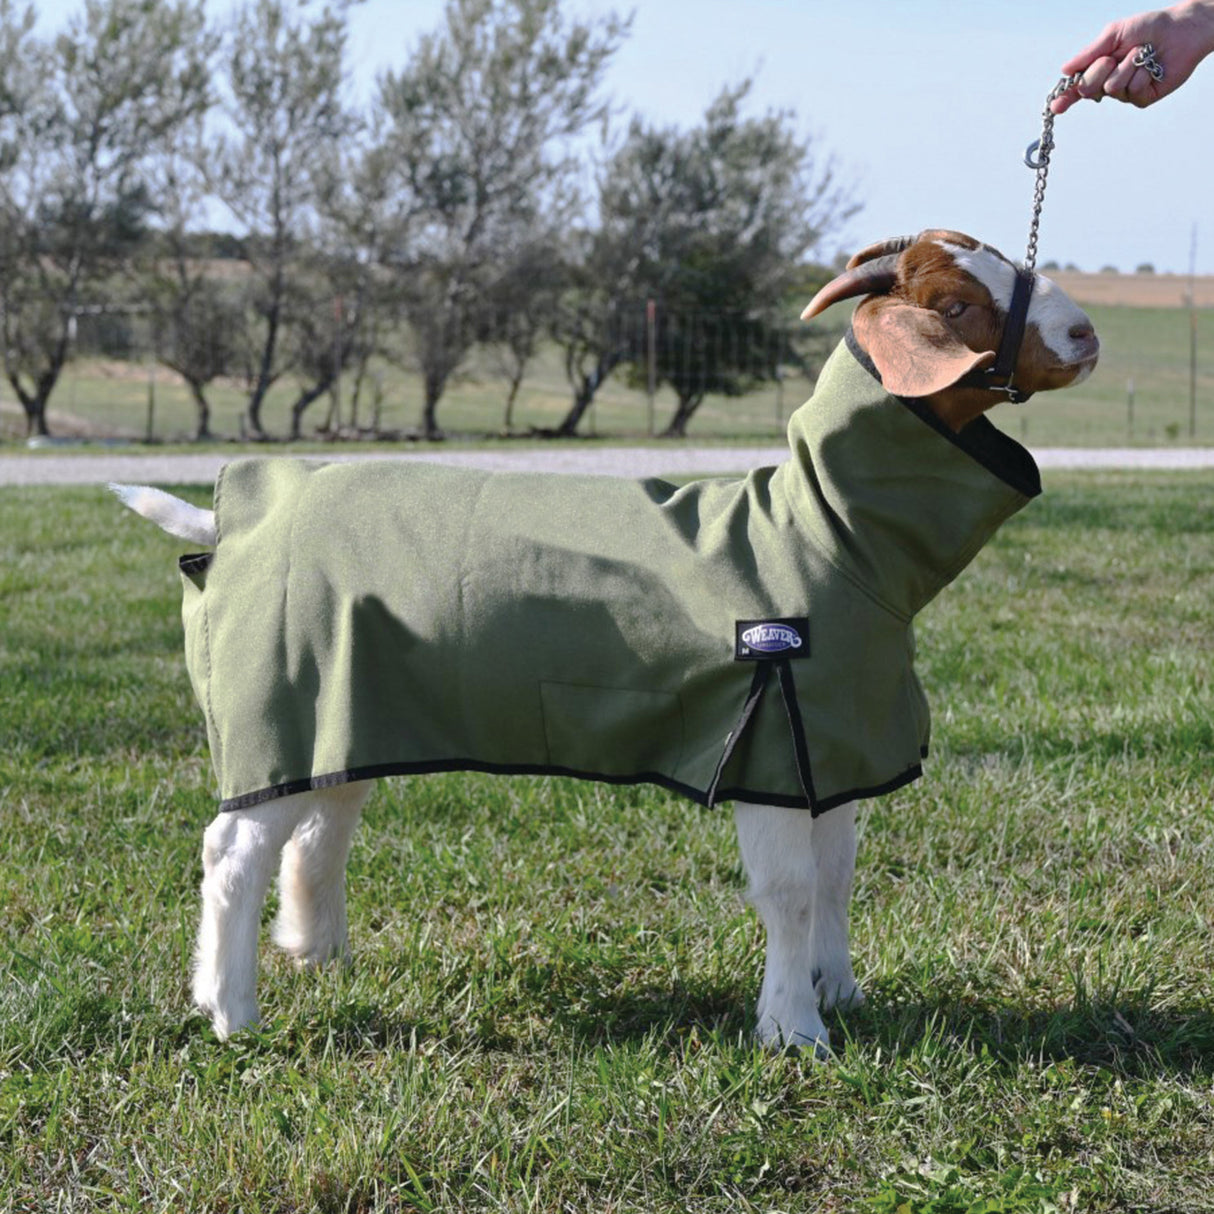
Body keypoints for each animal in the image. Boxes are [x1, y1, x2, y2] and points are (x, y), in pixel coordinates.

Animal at [114, 229, 1097, 1055]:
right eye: (956, 307)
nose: (1085, 333)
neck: (823, 533)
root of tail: (233, 519)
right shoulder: (770, 739)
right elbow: (789, 892)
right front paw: (793, 1030)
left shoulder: (832, 742)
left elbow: (839, 874)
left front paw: (840, 990)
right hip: (272, 700)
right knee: (233, 852)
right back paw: (232, 1011)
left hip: (341, 703)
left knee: (323, 818)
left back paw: (316, 951)